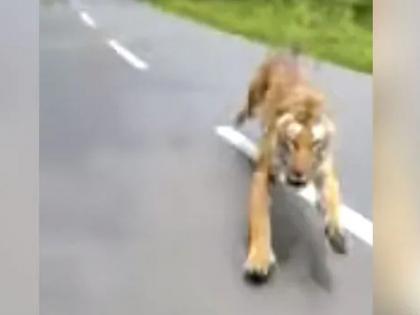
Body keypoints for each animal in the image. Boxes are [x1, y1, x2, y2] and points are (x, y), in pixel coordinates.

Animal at [233, 51, 348, 282]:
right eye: (292, 142)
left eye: (315, 144)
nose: (299, 175)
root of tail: (285, 53)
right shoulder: (264, 175)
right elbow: (260, 219)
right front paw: (259, 260)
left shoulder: (325, 172)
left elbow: (333, 199)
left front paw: (336, 234)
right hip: (254, 97)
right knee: (247, 109)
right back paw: (237, 122)